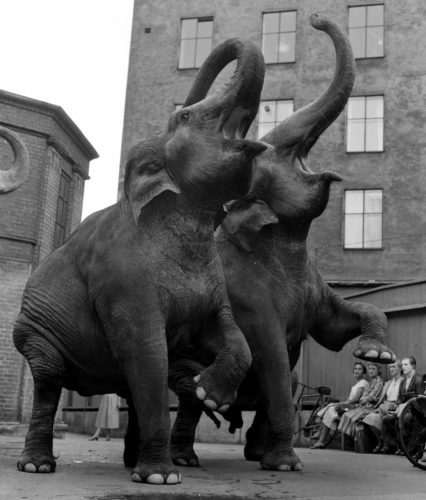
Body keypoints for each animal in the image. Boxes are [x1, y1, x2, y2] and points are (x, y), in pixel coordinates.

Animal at [12, 38, 266, 484]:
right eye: (185, 116)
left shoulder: (211, 281)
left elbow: (229, 331)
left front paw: (209, 393)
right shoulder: (122, 280)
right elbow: (146, 351)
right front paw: (162, 478)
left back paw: (130, 462)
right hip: (33, 329)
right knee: (48, 377)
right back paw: (37, 466)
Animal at [156, 12, 396, 472]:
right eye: (280, 149)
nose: (318, 18)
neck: (285, 239)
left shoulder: (313, 285)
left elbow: (336, 325)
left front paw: (378, 356)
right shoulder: (252, 300)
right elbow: (271, 354)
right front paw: (287, 465)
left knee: (289, 381)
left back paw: (254, 453)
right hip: (181, 359)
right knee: (191, 395)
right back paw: (187, 456)